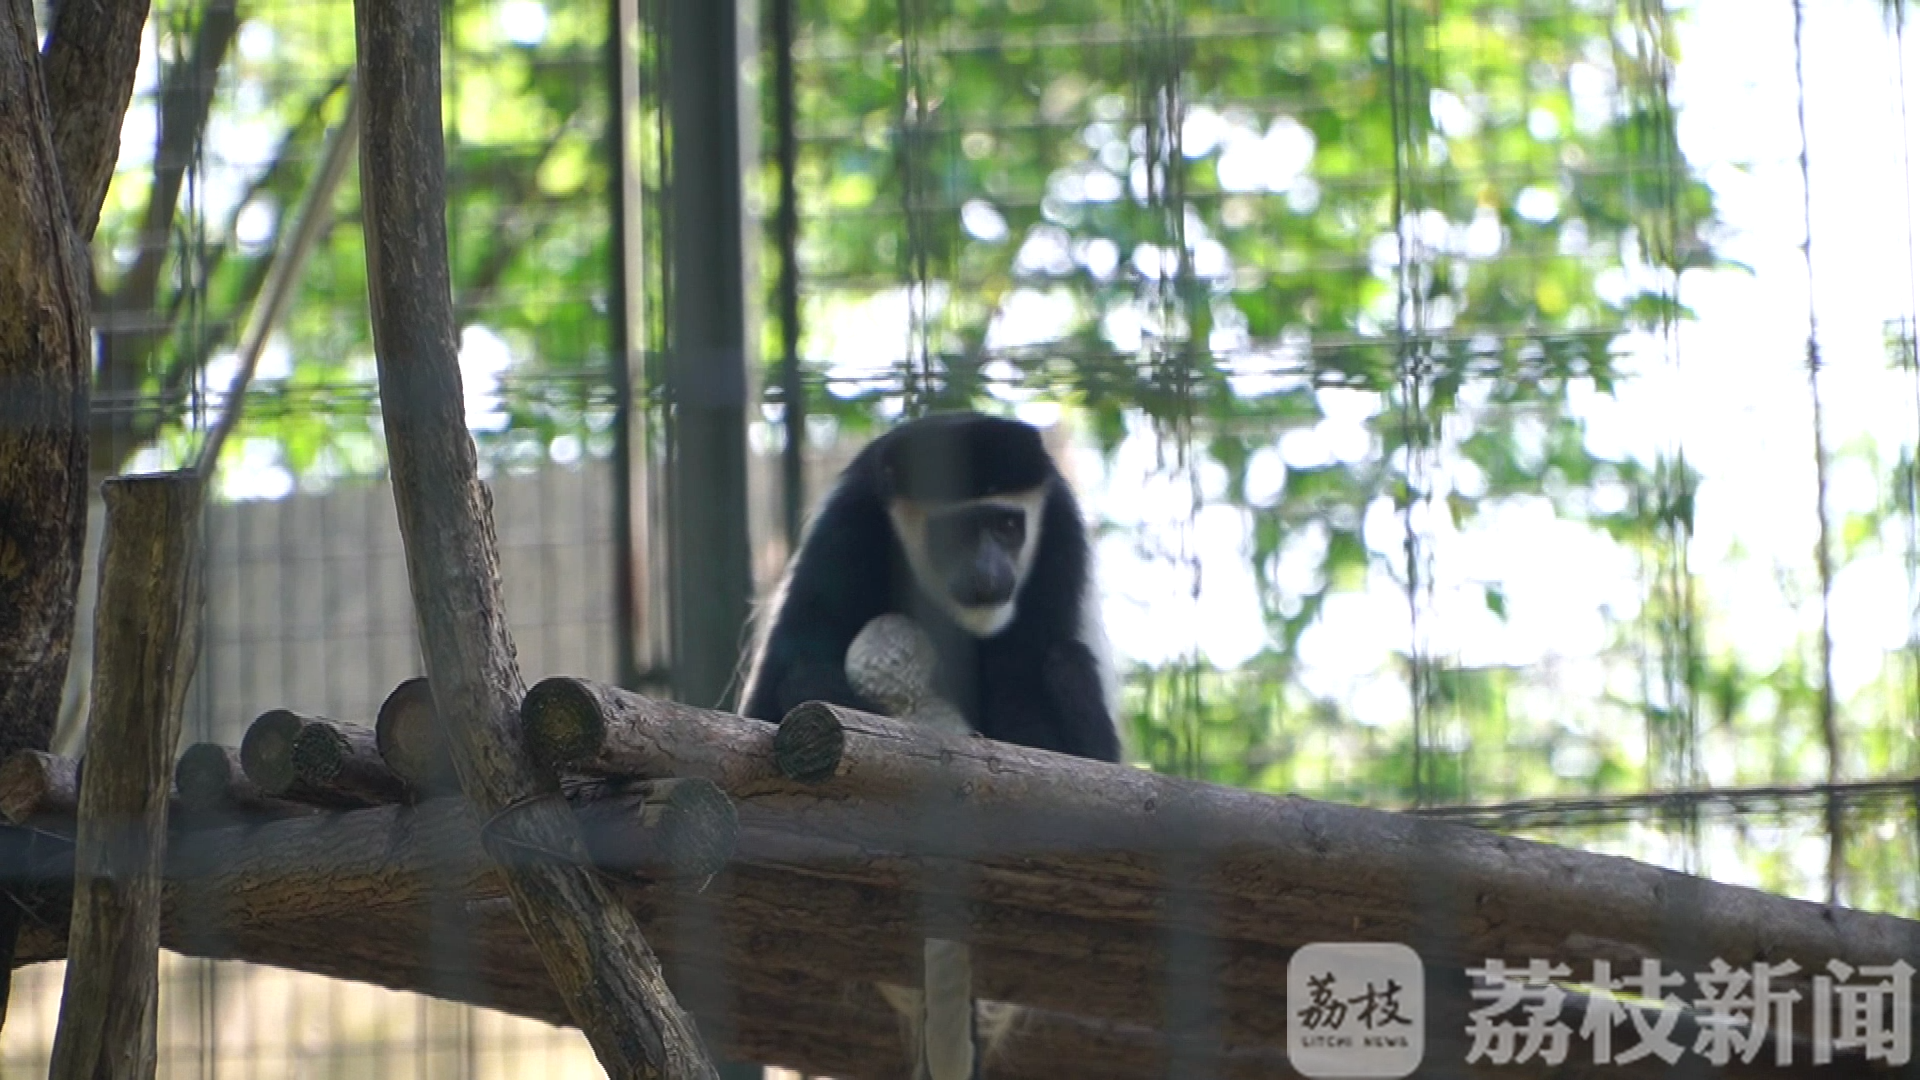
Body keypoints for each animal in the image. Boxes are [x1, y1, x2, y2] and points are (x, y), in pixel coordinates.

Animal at [737, 407, 1121, 1068]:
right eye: (959, 530)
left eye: (1007, 524)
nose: (991, 574)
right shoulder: (848, 526)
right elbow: (790, 670)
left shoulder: (1058, 545)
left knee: (1065, 662)